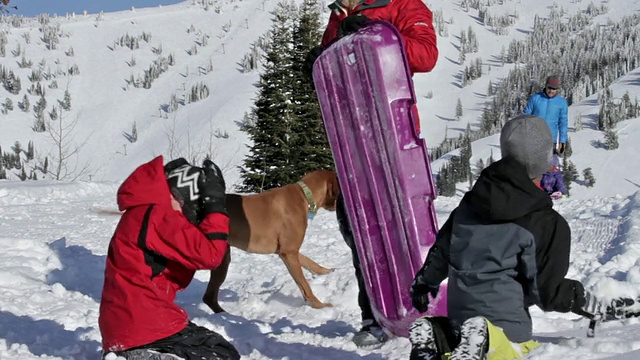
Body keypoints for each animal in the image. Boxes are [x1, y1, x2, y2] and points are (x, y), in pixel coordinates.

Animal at [205, 169, 340, 312]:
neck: (304, 195)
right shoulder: (288, 253)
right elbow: (304, 284)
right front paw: (320, 305)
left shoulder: (287, 251)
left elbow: (310, 263)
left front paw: (327, 271)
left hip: (222, 259)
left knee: (208, 296)